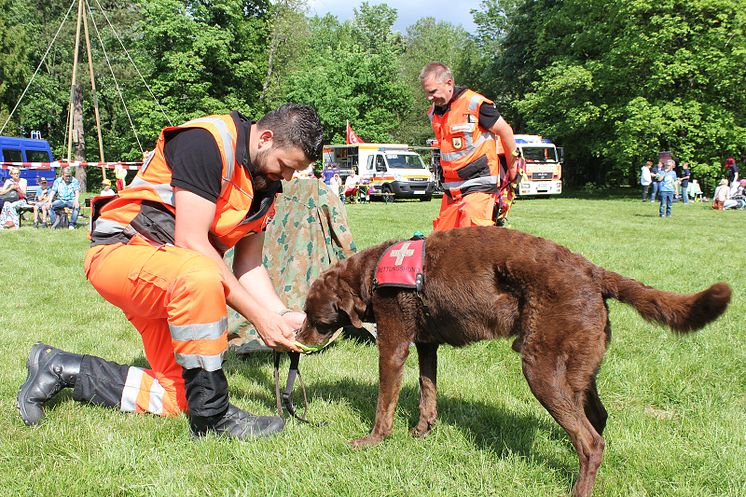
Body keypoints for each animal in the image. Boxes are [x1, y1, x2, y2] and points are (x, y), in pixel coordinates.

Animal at [294, 226, 728, 496]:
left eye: (314, 316)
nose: (296, 337)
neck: (367, 276)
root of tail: (594, 271)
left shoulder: (394, 344)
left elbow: (385, 401)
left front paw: (372, 440)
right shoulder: (427, 345)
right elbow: (427, 388)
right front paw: (422, 430)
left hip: (541, 367)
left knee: (591, 441)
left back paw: (578, 488)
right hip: (578, 369)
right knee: (597, 421)